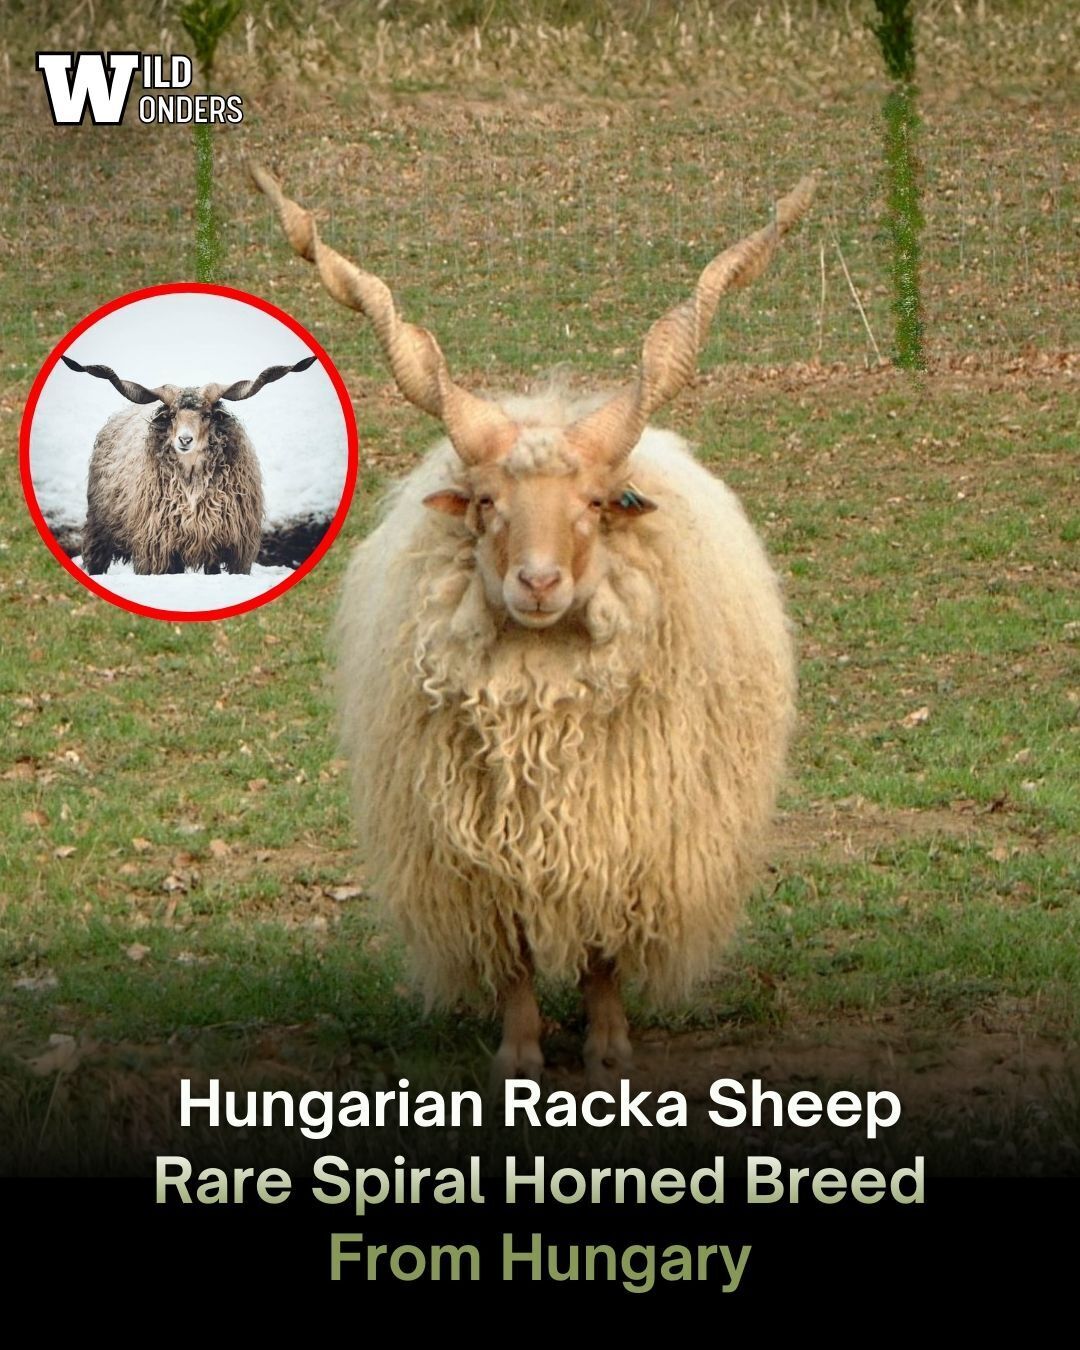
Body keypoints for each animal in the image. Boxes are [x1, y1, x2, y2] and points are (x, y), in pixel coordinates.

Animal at [62, 354, 316, 576]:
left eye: (207, 415)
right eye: (173, 414)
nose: (184, 440)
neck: (192, 481)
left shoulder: (228, 548)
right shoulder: (158, 549)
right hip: (99, 531)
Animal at [252, 163, 814, 1087]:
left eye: (598, 504)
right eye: (486, 504)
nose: (540, 581)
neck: (541, 689)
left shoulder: (617, 834)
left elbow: (602, 953)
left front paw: (609, 1048)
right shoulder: (485, 851)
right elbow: (514, 952)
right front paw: (518, 1053)